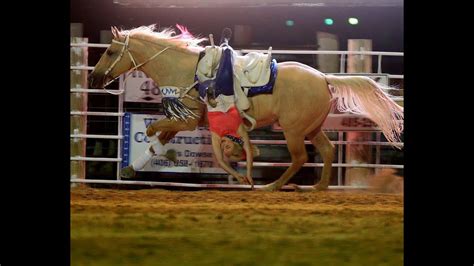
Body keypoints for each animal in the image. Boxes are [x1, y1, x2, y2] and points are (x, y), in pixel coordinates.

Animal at [88, 25, 404, 190]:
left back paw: (272, 187)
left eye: (110, 51)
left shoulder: (187, 120)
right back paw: (319, 187)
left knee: (301, 157)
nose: (93, 78)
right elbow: (157, 141)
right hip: (312, 128)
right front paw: (130, 169)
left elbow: (154, 129)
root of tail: (324, 78)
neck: (184, 70)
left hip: (293, 130)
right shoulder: (187, 120)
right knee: (327, 150)